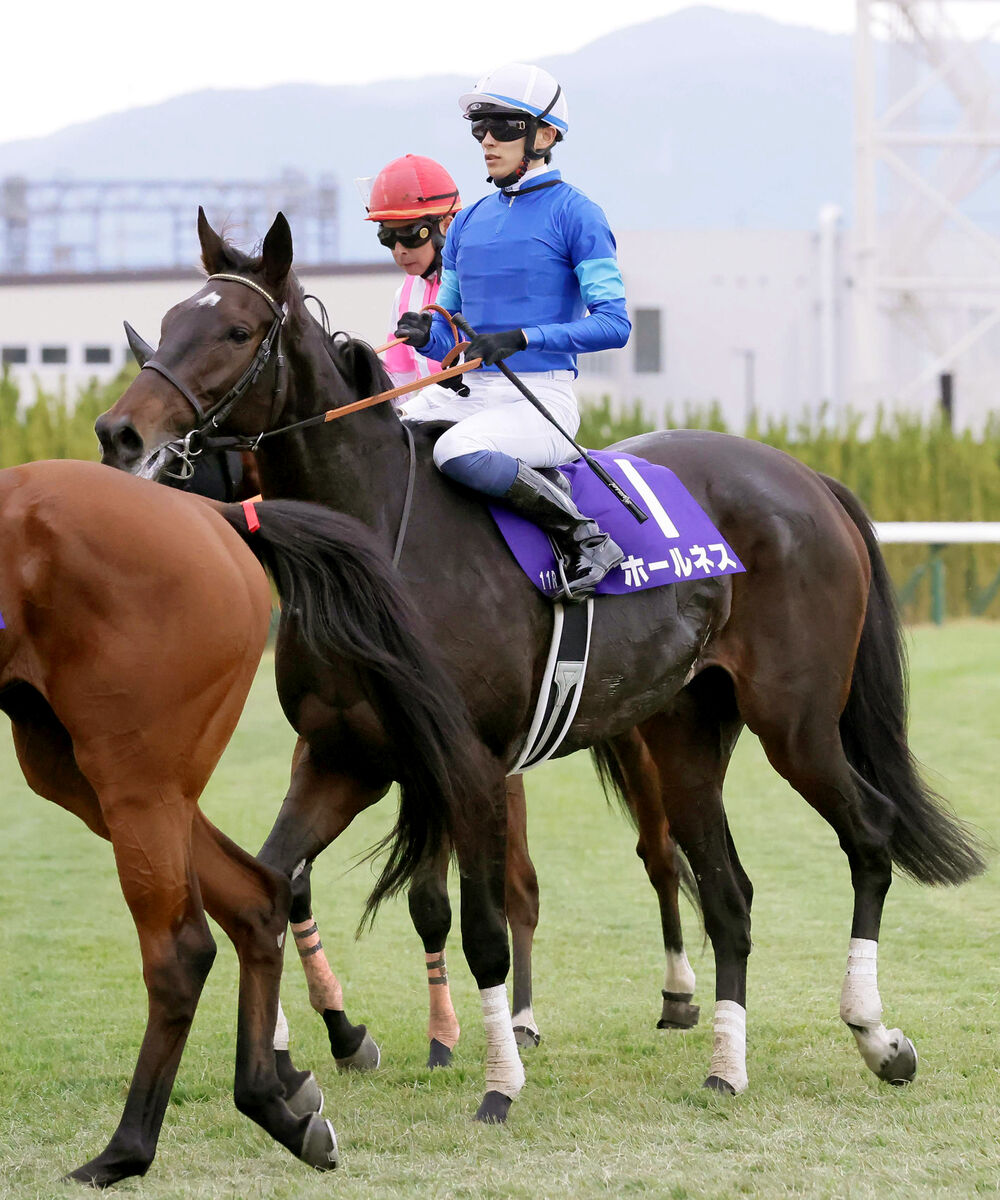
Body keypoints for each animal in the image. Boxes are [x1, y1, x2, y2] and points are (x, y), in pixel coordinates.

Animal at [0, 456, 492, 1180]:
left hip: (135, 776)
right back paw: (276, 1104)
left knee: (183, 951)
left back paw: (126, 1149)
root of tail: (213, 515)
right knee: (260, 896)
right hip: (81, 767)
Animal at [97, 211, 989, 1118]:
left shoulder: (470, 767)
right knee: (727, 893)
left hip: (796, 722)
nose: (120, 435)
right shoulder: (344, 757)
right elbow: (274, 882)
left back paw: (876, 1035)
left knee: (868, 832)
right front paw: (310, 1048)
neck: (379, 537)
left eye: (237, 332)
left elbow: (484, 929)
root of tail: (806, 476)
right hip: (685, 732)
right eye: (168, 320)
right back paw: (726, 1065)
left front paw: (498, 1080)